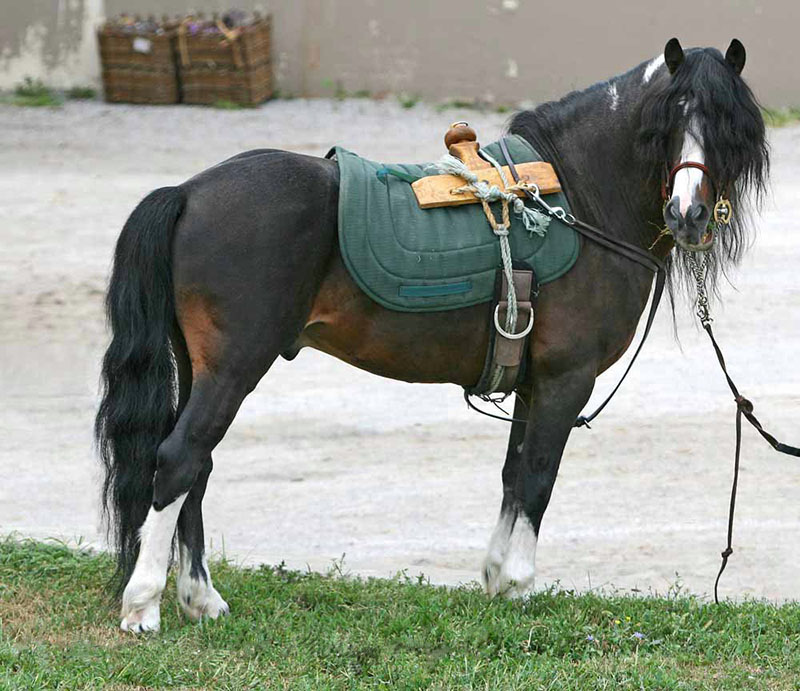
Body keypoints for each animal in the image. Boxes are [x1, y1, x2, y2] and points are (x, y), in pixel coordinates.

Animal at [95, 37, 768, 632]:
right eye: (668, 119)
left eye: (728, 124)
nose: (688, 214)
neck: (577, 199)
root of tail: (187, 193)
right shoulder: (564, 381)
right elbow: (538, 477)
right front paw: (519, 585)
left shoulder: (532, 384)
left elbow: (513, 474)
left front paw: (496, 579)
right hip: (234, 368)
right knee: (179, 461)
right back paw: (144, 607)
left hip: (204, 370)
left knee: (196, 469)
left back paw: (200, 599)